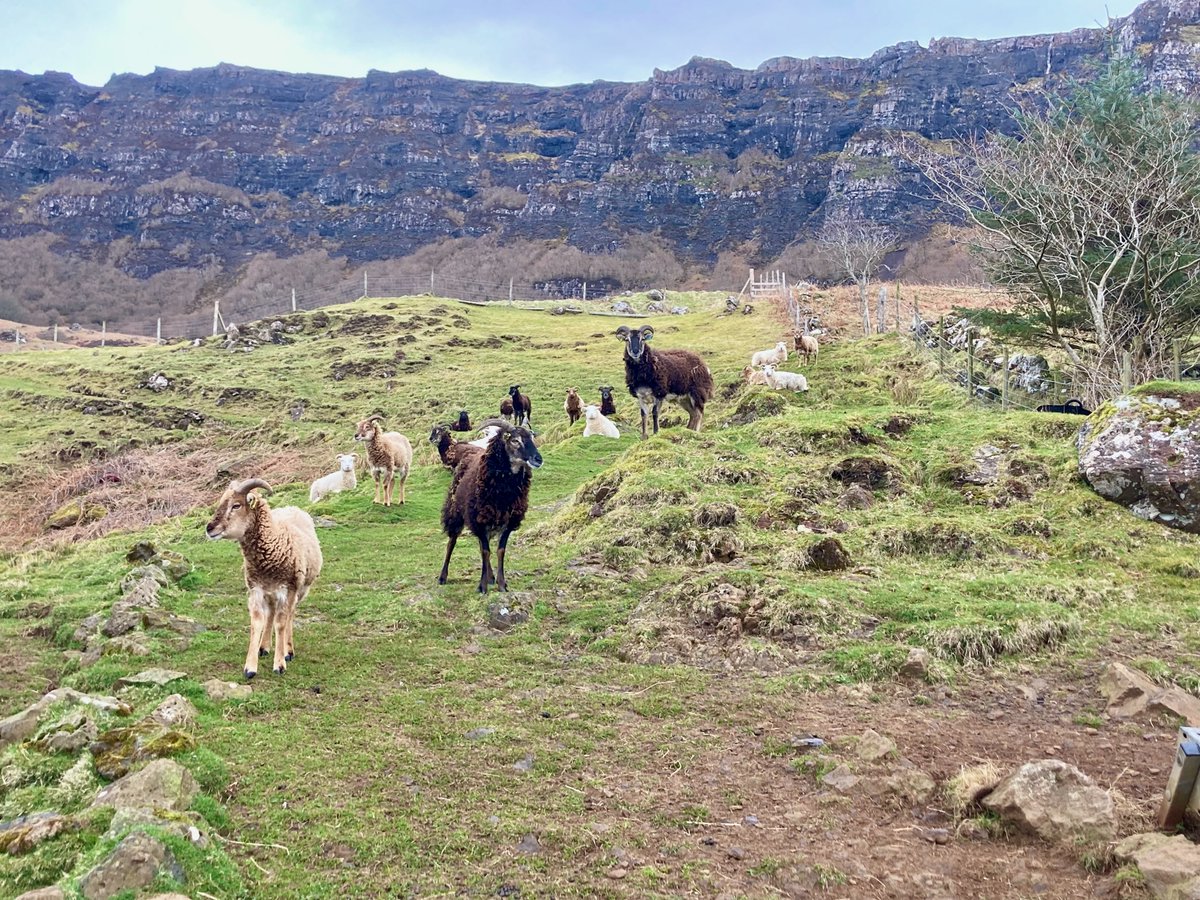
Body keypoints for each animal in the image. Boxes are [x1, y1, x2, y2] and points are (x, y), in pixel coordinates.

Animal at [205, 482, 324, 681]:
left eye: (236, 505)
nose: (209, 528)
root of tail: (291, 507)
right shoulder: (256, 590)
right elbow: (258, 622)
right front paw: (250, 667)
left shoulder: (287, 590)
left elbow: (281, 624)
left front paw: (280, 664)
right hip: (271, 594)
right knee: (271, 615)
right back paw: (264, 647)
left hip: (300, 590)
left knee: (289, 615)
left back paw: (288, 650)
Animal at [439, 422, 542, 600]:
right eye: (515, 441)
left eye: (532, 437)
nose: (538, 459)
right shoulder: (478, 521)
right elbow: (486, 552)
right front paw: (482, 587)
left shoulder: (508, 523)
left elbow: (500, 551)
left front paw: (501, 584)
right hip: (456, 512)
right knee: (452, 542)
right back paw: (443, 577)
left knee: (481, 544)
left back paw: (491, 576)